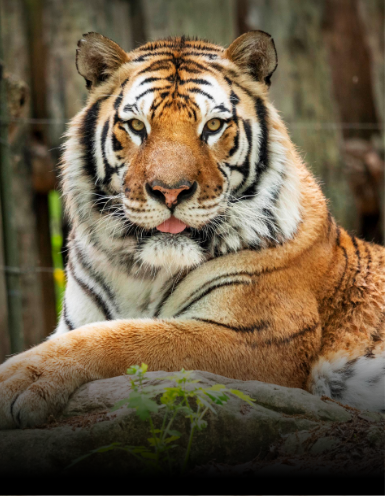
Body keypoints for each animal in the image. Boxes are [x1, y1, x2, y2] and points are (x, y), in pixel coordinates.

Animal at [0, 30, 384, 430]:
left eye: (213, 126)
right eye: (137, 127)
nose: (171, 191)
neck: (139, 272)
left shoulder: (259, 340)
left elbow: (126, 338)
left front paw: (22, 377)